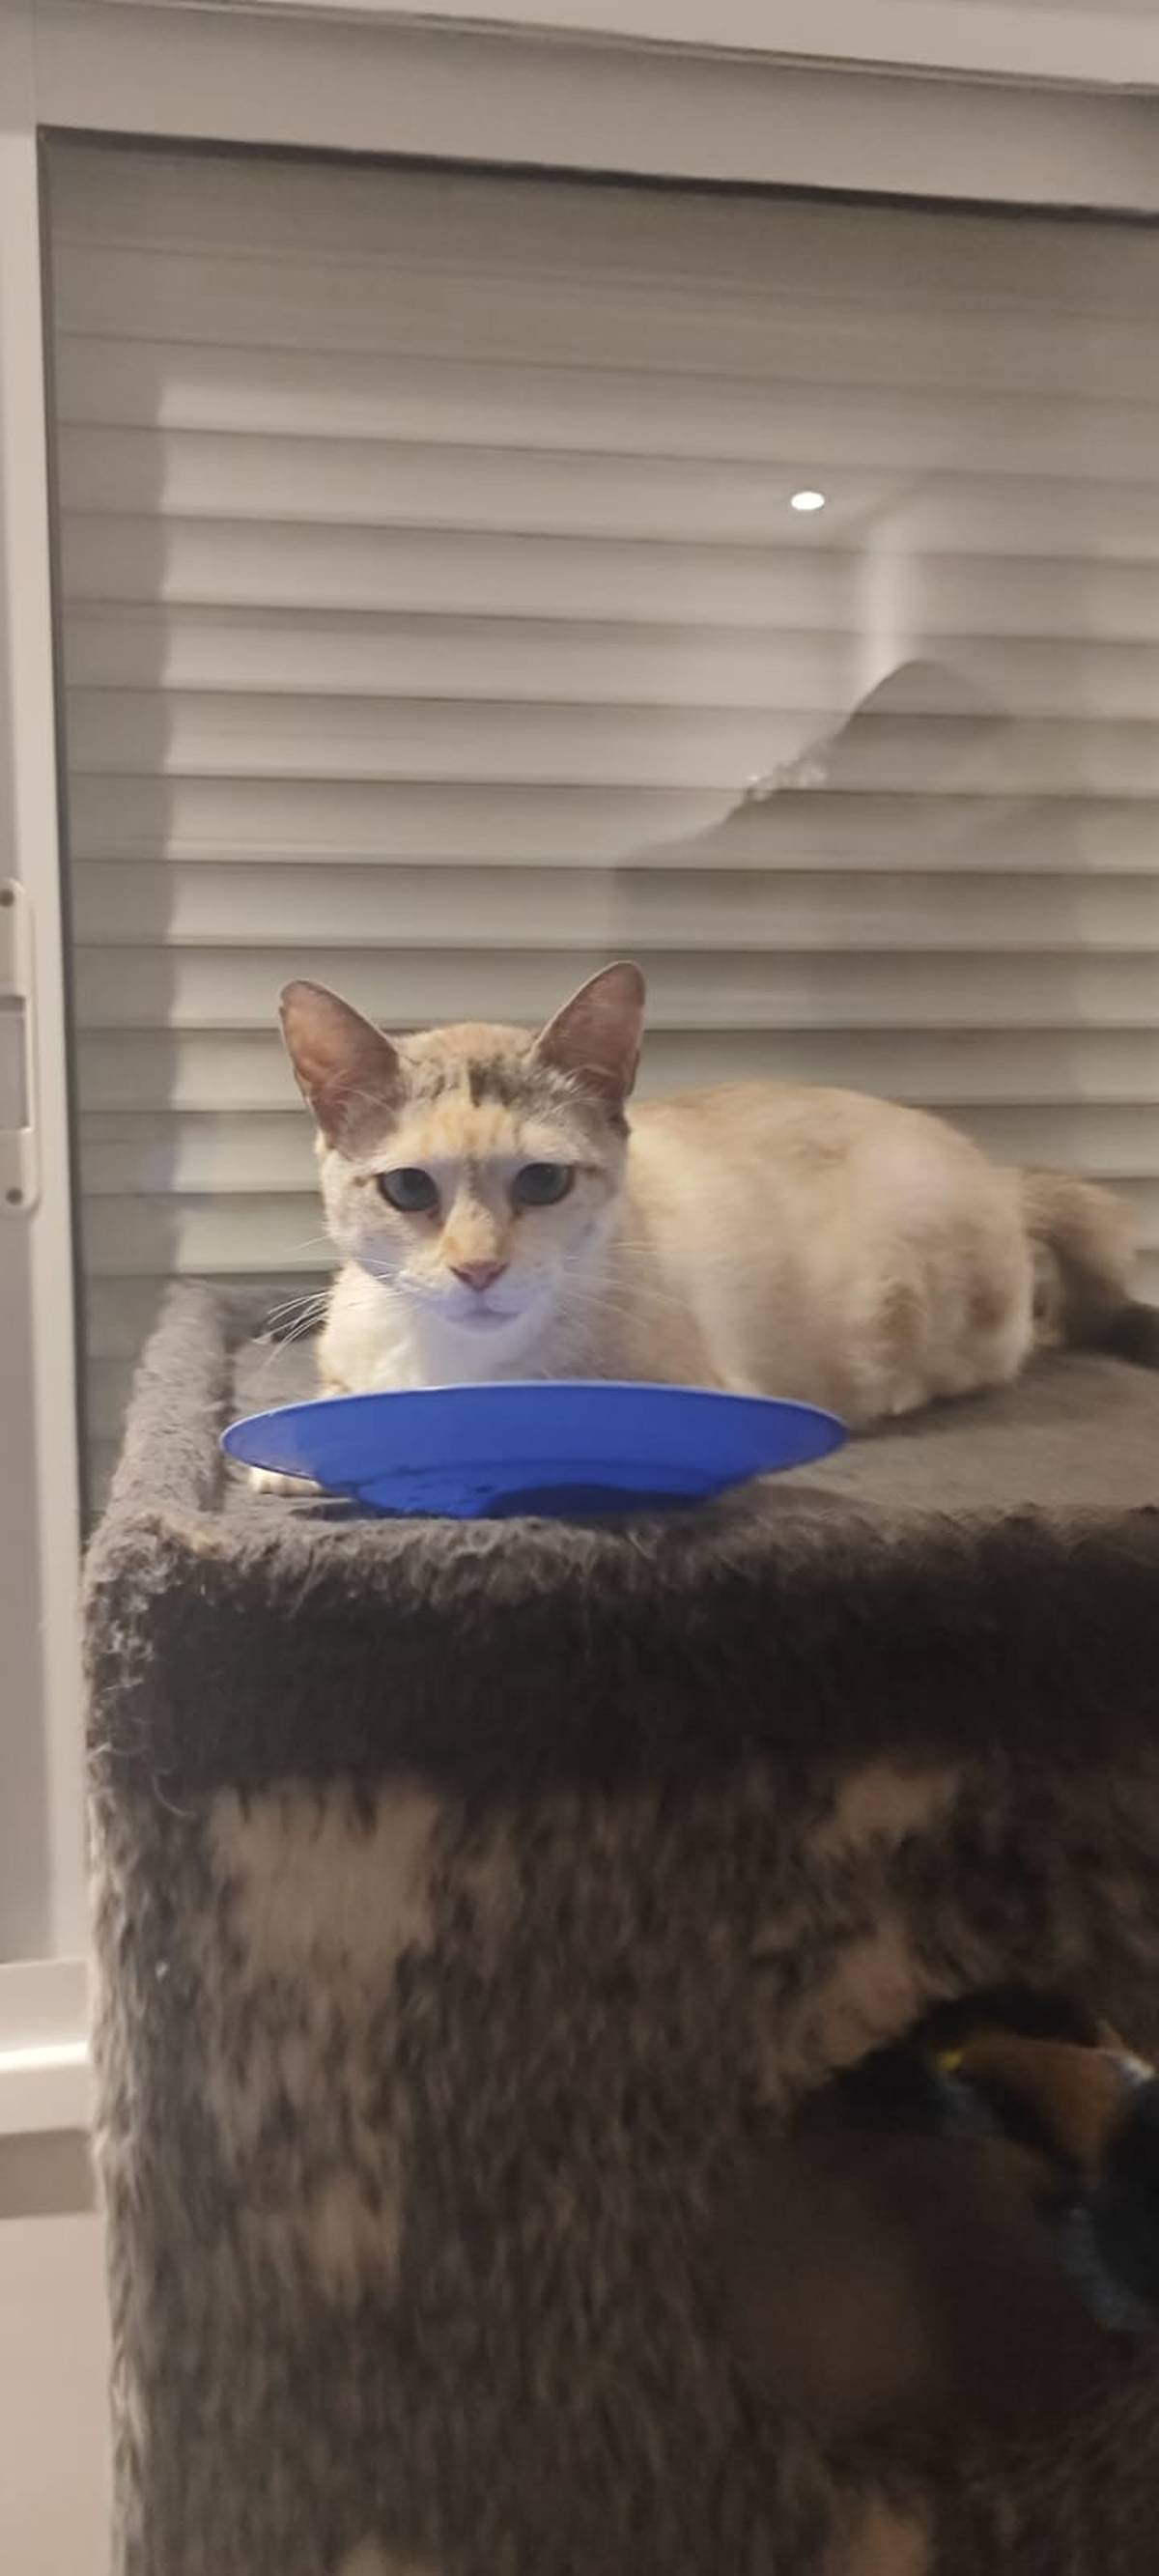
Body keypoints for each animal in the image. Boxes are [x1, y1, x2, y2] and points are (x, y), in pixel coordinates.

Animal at [260, 961, 1156, 1475]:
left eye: (544, 1181)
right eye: (410, 1191)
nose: (478, 1269)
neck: (455, 1363)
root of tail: (997, 1172)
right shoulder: (346, 1355)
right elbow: (330, 1405)